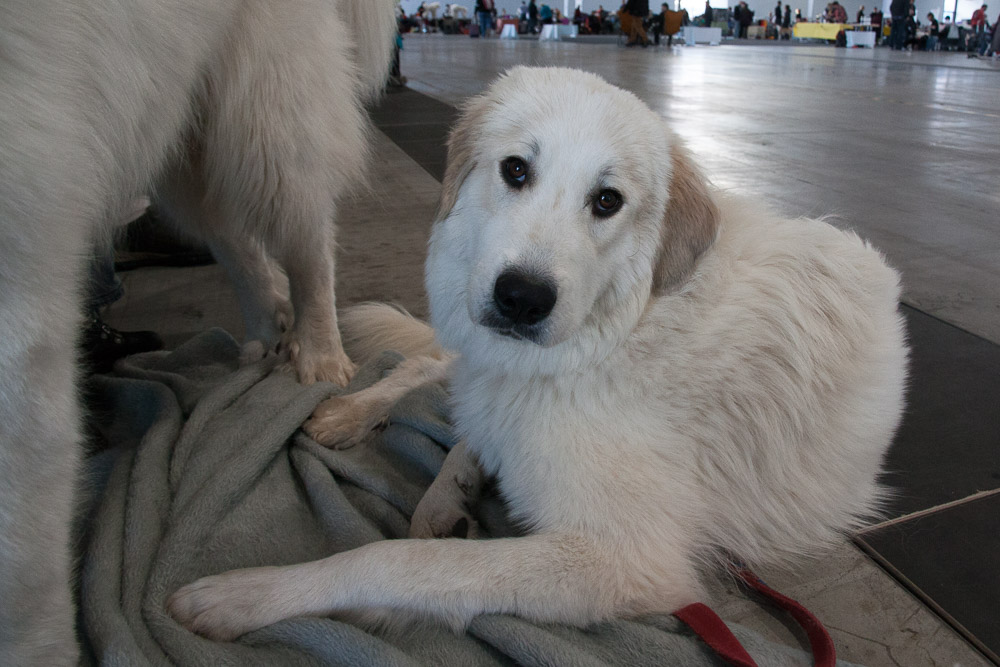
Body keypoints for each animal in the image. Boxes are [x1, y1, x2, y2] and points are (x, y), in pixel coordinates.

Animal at [0, 2, 398, 664]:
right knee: (235, 241)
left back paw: (318, 353)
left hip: (257, 100)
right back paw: (270, 333)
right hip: (175, 117)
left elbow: (25, 574)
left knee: (304, 234)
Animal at [170, 68, 908, 640]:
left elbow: (399, 562)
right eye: (516, 170)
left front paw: (248, 594)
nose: (522, 298)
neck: (618, 332)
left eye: (607, 200)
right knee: (429, 367)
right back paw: (360, 417)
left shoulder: (624, 560)